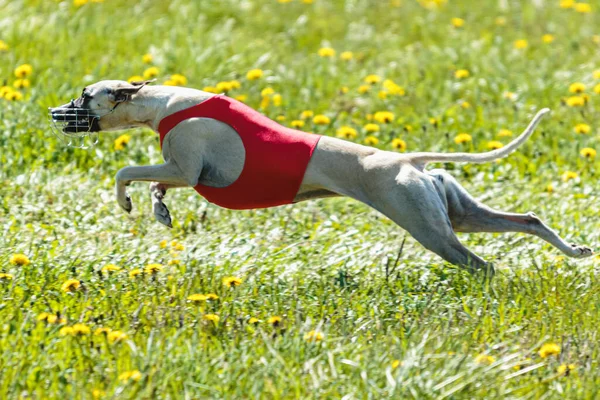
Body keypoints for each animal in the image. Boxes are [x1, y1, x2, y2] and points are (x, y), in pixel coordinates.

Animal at [49, 79, 592, 276]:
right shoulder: (186, 173)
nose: (56, 112)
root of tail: (408, 162)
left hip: (428, 227)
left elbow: (127, 170)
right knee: (528, 219)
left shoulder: (186, 165)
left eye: (84, 96)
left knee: (482, 264)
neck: (161, 101)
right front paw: (159, 209)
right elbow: (159, 185)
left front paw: (127, 202)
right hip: (456, 213)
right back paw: (576, 251)